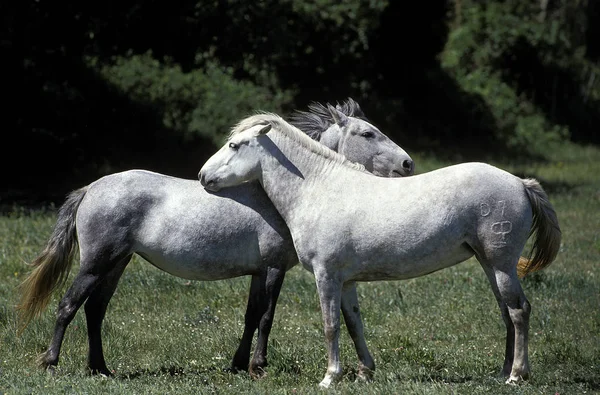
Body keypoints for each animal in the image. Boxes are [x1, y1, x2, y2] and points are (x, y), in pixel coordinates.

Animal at [16, 98, 414, 378]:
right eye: (368, 134)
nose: (408, 164)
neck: (273, 193)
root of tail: (90, 188)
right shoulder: (274, 268)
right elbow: (267, 317)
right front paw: (258, 366)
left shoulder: (259, 271)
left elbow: (251, 316)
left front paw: (239, 364)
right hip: (97, 262)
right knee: (68, 305)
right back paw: (51, 362)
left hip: (117, 264)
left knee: (95, 310)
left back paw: (99, 368)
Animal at [200, 113, 564, 388]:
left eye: (234, 145)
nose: (203, 176)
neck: (318, 188)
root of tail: (520, 183)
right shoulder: (345, 281)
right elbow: (353, 323)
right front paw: (364, 372)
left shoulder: (326, 275)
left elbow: (330, 324)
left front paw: (330, 378)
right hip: (491, 265)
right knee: (506, 312)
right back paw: (503, 372)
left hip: (502, 265)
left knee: (519, 311)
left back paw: (517, 375)